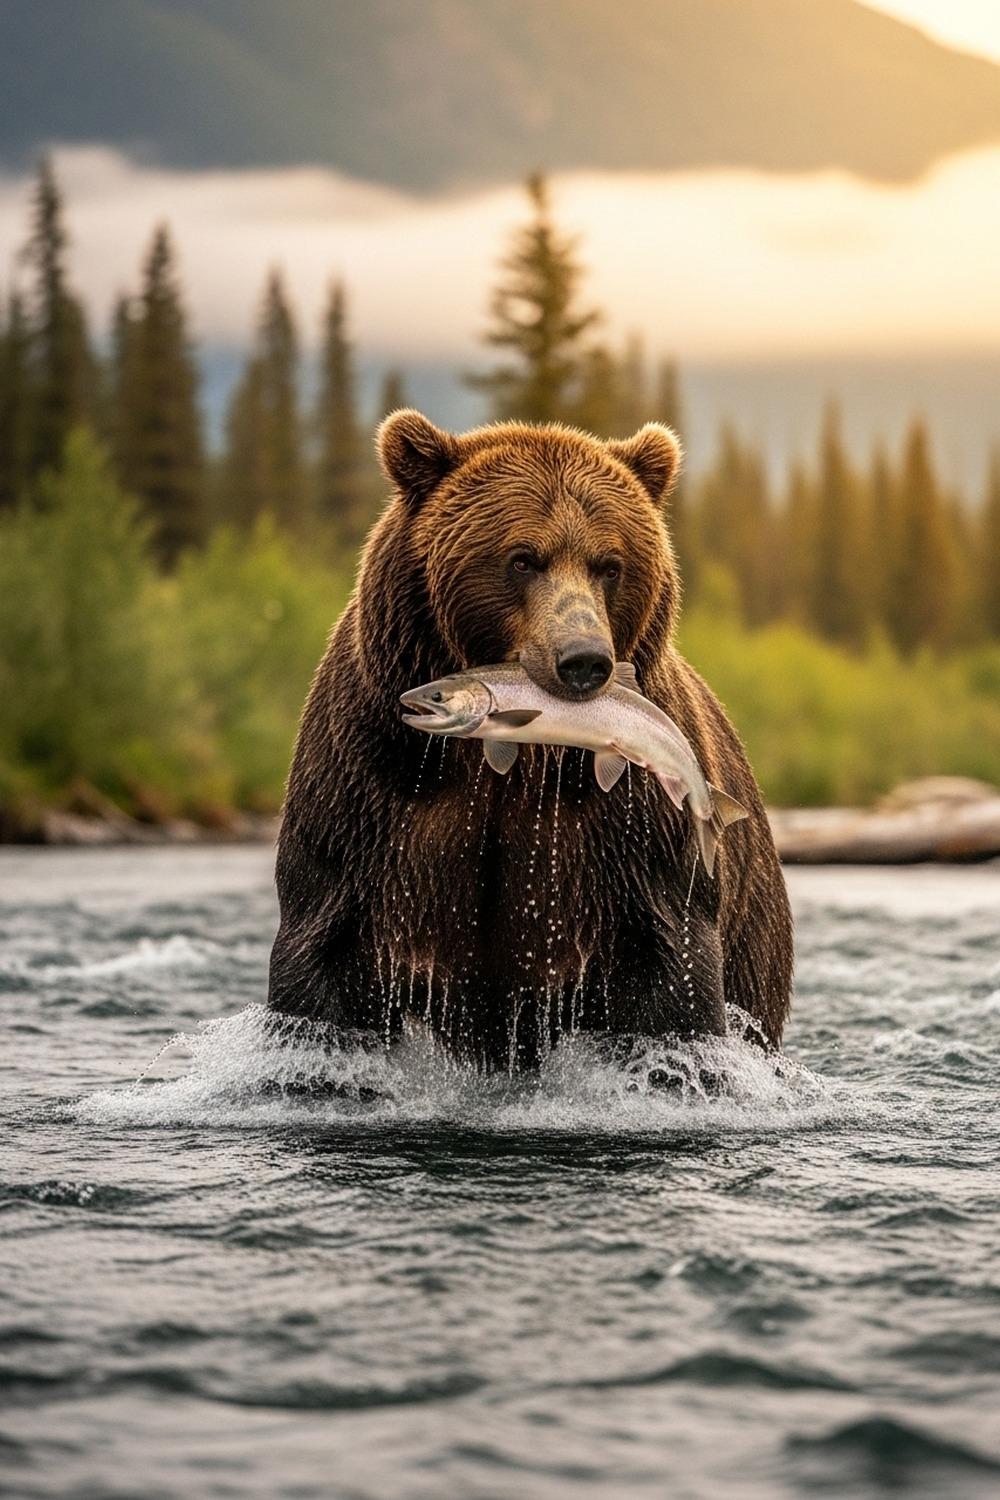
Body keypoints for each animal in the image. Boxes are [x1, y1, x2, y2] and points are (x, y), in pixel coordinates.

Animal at [267, 410, 793, 1070]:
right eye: (522, 558)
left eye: (610, 563)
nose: (584, 660)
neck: (525, 760)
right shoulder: (369, 793)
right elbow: (322, 962)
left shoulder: (629, 842)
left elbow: (674, 981)